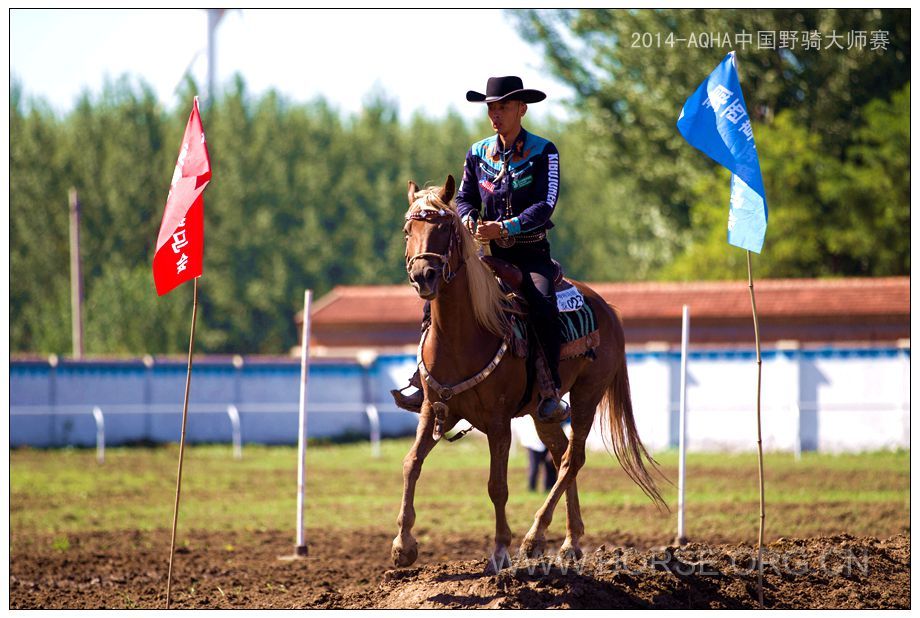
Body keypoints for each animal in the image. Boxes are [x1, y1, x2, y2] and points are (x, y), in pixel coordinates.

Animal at [392, 176, 664, 572]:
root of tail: (608, 309)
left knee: (572, 459)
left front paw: (500, 550)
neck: (465, 333)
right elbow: (411, 464)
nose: (422, 276)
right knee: (561, 453)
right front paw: (403, 544)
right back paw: (570, 542)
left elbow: (497, 485)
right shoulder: (434, 410)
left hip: (588, 394)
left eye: (444, 229)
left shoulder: (498, 421)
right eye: (408, 230)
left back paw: (535, 538)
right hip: (541, 412)